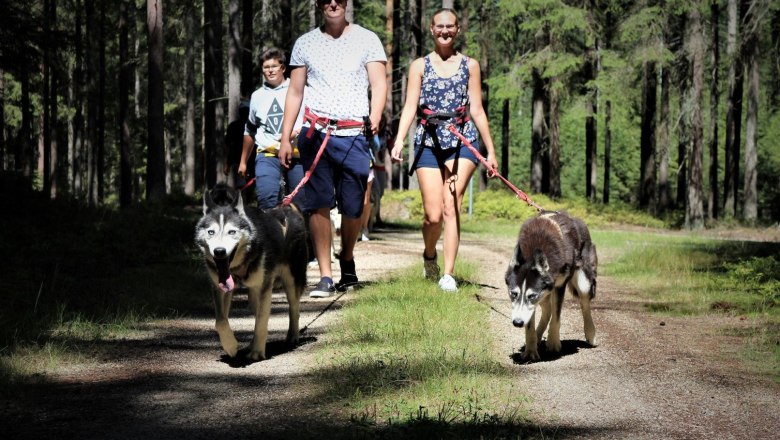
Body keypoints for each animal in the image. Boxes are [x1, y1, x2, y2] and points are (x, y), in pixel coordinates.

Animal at [195, 186, 308, 360]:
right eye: (211, 232)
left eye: (232, 232)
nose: (219, 251)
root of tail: (286, 209)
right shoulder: (220, 287)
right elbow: (220, 321)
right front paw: (230, 346)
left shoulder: (265, 287)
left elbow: (262, 320)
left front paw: (257, 352)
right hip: (254, 294)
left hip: (291, 279)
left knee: (294, 307)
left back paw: (292, 336)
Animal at [506, 212, 596, 360]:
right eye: (513, 294)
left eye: (532, 295)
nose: (517, 323)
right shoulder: (536, 299)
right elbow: (530, 325)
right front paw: (530, 351)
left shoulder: (558, 287)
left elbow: (556, 317)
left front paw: (553, 342)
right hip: (546, 294)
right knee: (547, 308)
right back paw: (537, 336)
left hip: (584, 283)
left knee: (585, 305)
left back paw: (591, 333)